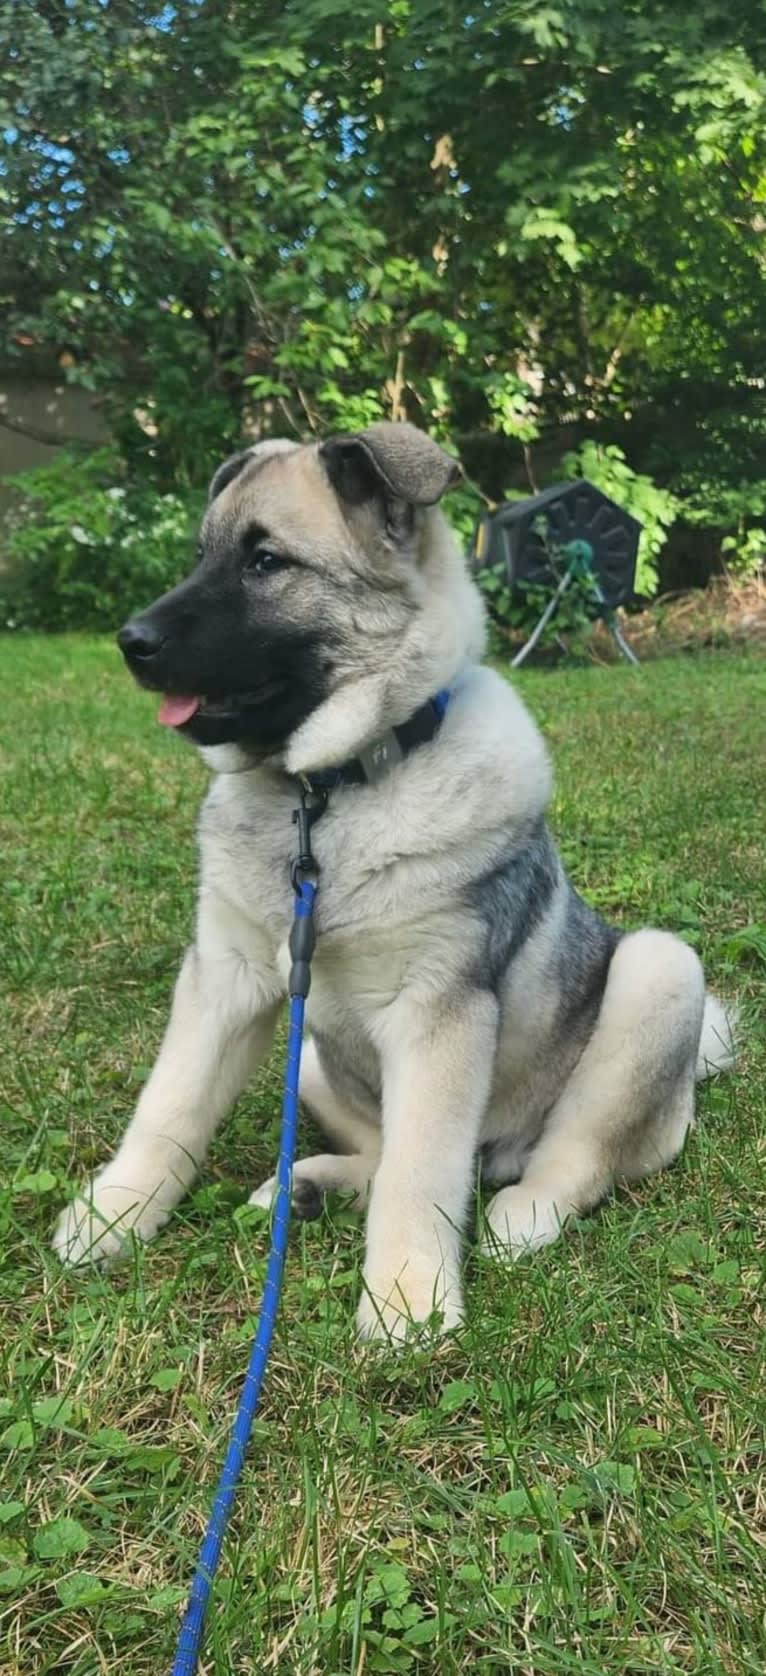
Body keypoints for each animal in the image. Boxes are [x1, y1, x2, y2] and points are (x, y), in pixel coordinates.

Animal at [53, 425, 734, 1340]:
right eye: (202, 555)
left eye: (265, 562)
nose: (131, 641)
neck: (326, 798)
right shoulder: (224, 982)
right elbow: (169, 1109)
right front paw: (114, 1214)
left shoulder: (436, 1014)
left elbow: (422, 1171)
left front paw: (409, 1300)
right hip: (314, 1055)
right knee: (382, 1154)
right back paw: (307, 1187)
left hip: (659, 973)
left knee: (571, 1157)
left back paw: (524, 1214)